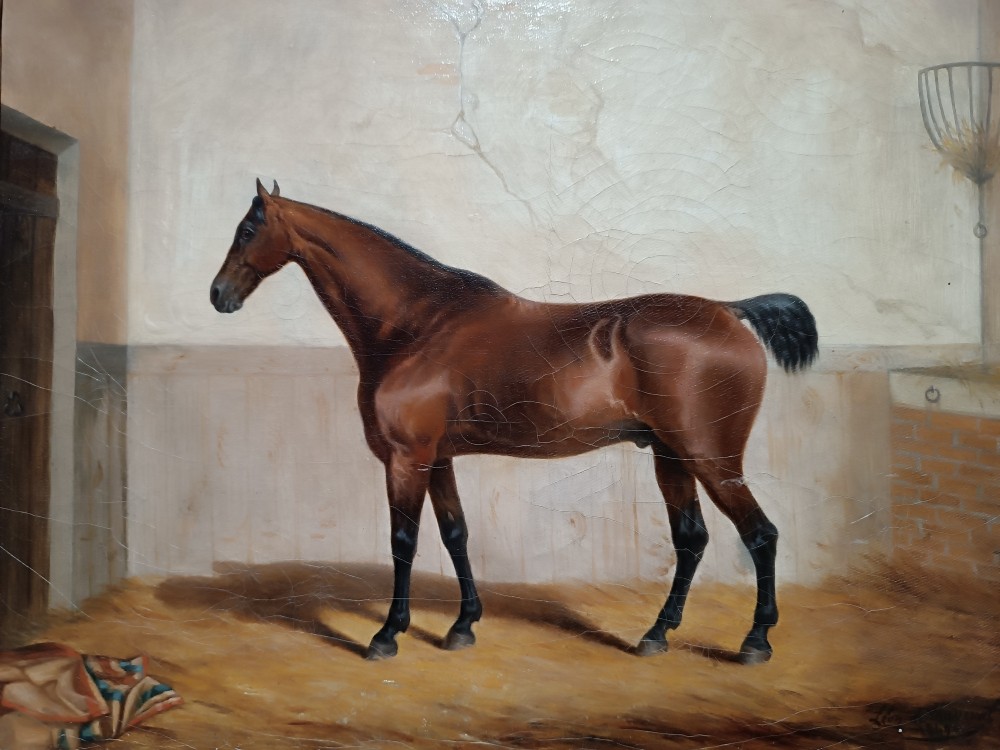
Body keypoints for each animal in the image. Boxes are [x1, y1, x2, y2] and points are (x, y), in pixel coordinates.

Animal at [210, 179, 819, 664]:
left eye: (247, 229)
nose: (218, 295)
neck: (417, 321)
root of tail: (730, 311)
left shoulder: (406, 458)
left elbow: (403, 541)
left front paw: (387, 635)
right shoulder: (439, 458)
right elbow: (455, 533)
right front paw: (462, 626)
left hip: (711, 459)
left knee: (760, 535)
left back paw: (755, 642)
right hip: (672, 458)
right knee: (692, 540)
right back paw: (656, 635)